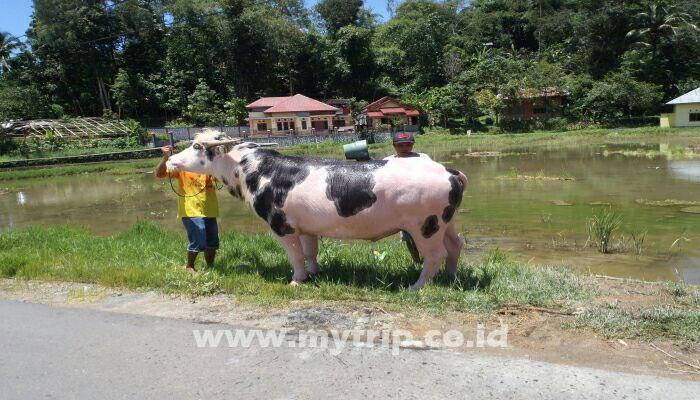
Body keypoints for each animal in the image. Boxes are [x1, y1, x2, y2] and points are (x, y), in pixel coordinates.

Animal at [166, 131, 468, 290]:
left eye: (196, 146)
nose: (170, 159)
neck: (253, 172)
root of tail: (448, 170)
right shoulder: (306, 227)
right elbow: (310, 251)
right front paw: (314, 273)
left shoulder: (281, 225)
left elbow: (295, 254)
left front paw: (296, 281)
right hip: (446, 221)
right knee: (455, 245)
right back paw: (450, 277)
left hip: (426, 225)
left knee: (435, 255)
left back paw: (416, 287)